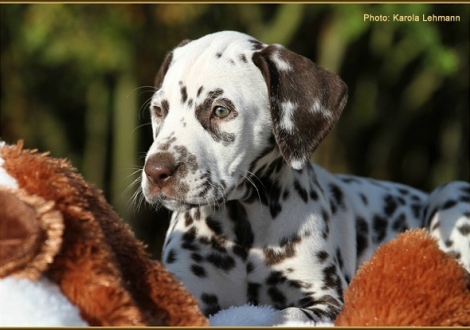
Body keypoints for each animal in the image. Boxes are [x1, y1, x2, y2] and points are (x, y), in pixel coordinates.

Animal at [142, 31, 470, 324]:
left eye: (220, 110)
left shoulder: (327, 300)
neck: (244, 227)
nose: (156, 171)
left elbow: (286, 314)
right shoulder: (185, 293)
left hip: (451, 192)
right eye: (159, 110)